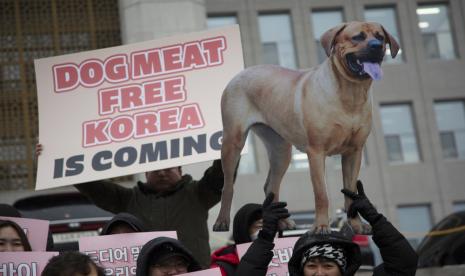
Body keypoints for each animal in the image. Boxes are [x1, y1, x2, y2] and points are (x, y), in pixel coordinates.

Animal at [214, 21, 398, 233]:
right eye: (357, 37)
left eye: (380, 37)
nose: (377, 46)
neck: (350, 93)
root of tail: (240, 73)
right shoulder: (316, 152)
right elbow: (321, 194)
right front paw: (321, 226)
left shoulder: (354, 152)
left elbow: (351, 193)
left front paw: (356, 225)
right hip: (233, 142)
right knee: (227, 186)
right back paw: (222, 221)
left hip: (280, 150)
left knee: (270, 185)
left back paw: (282, 222)